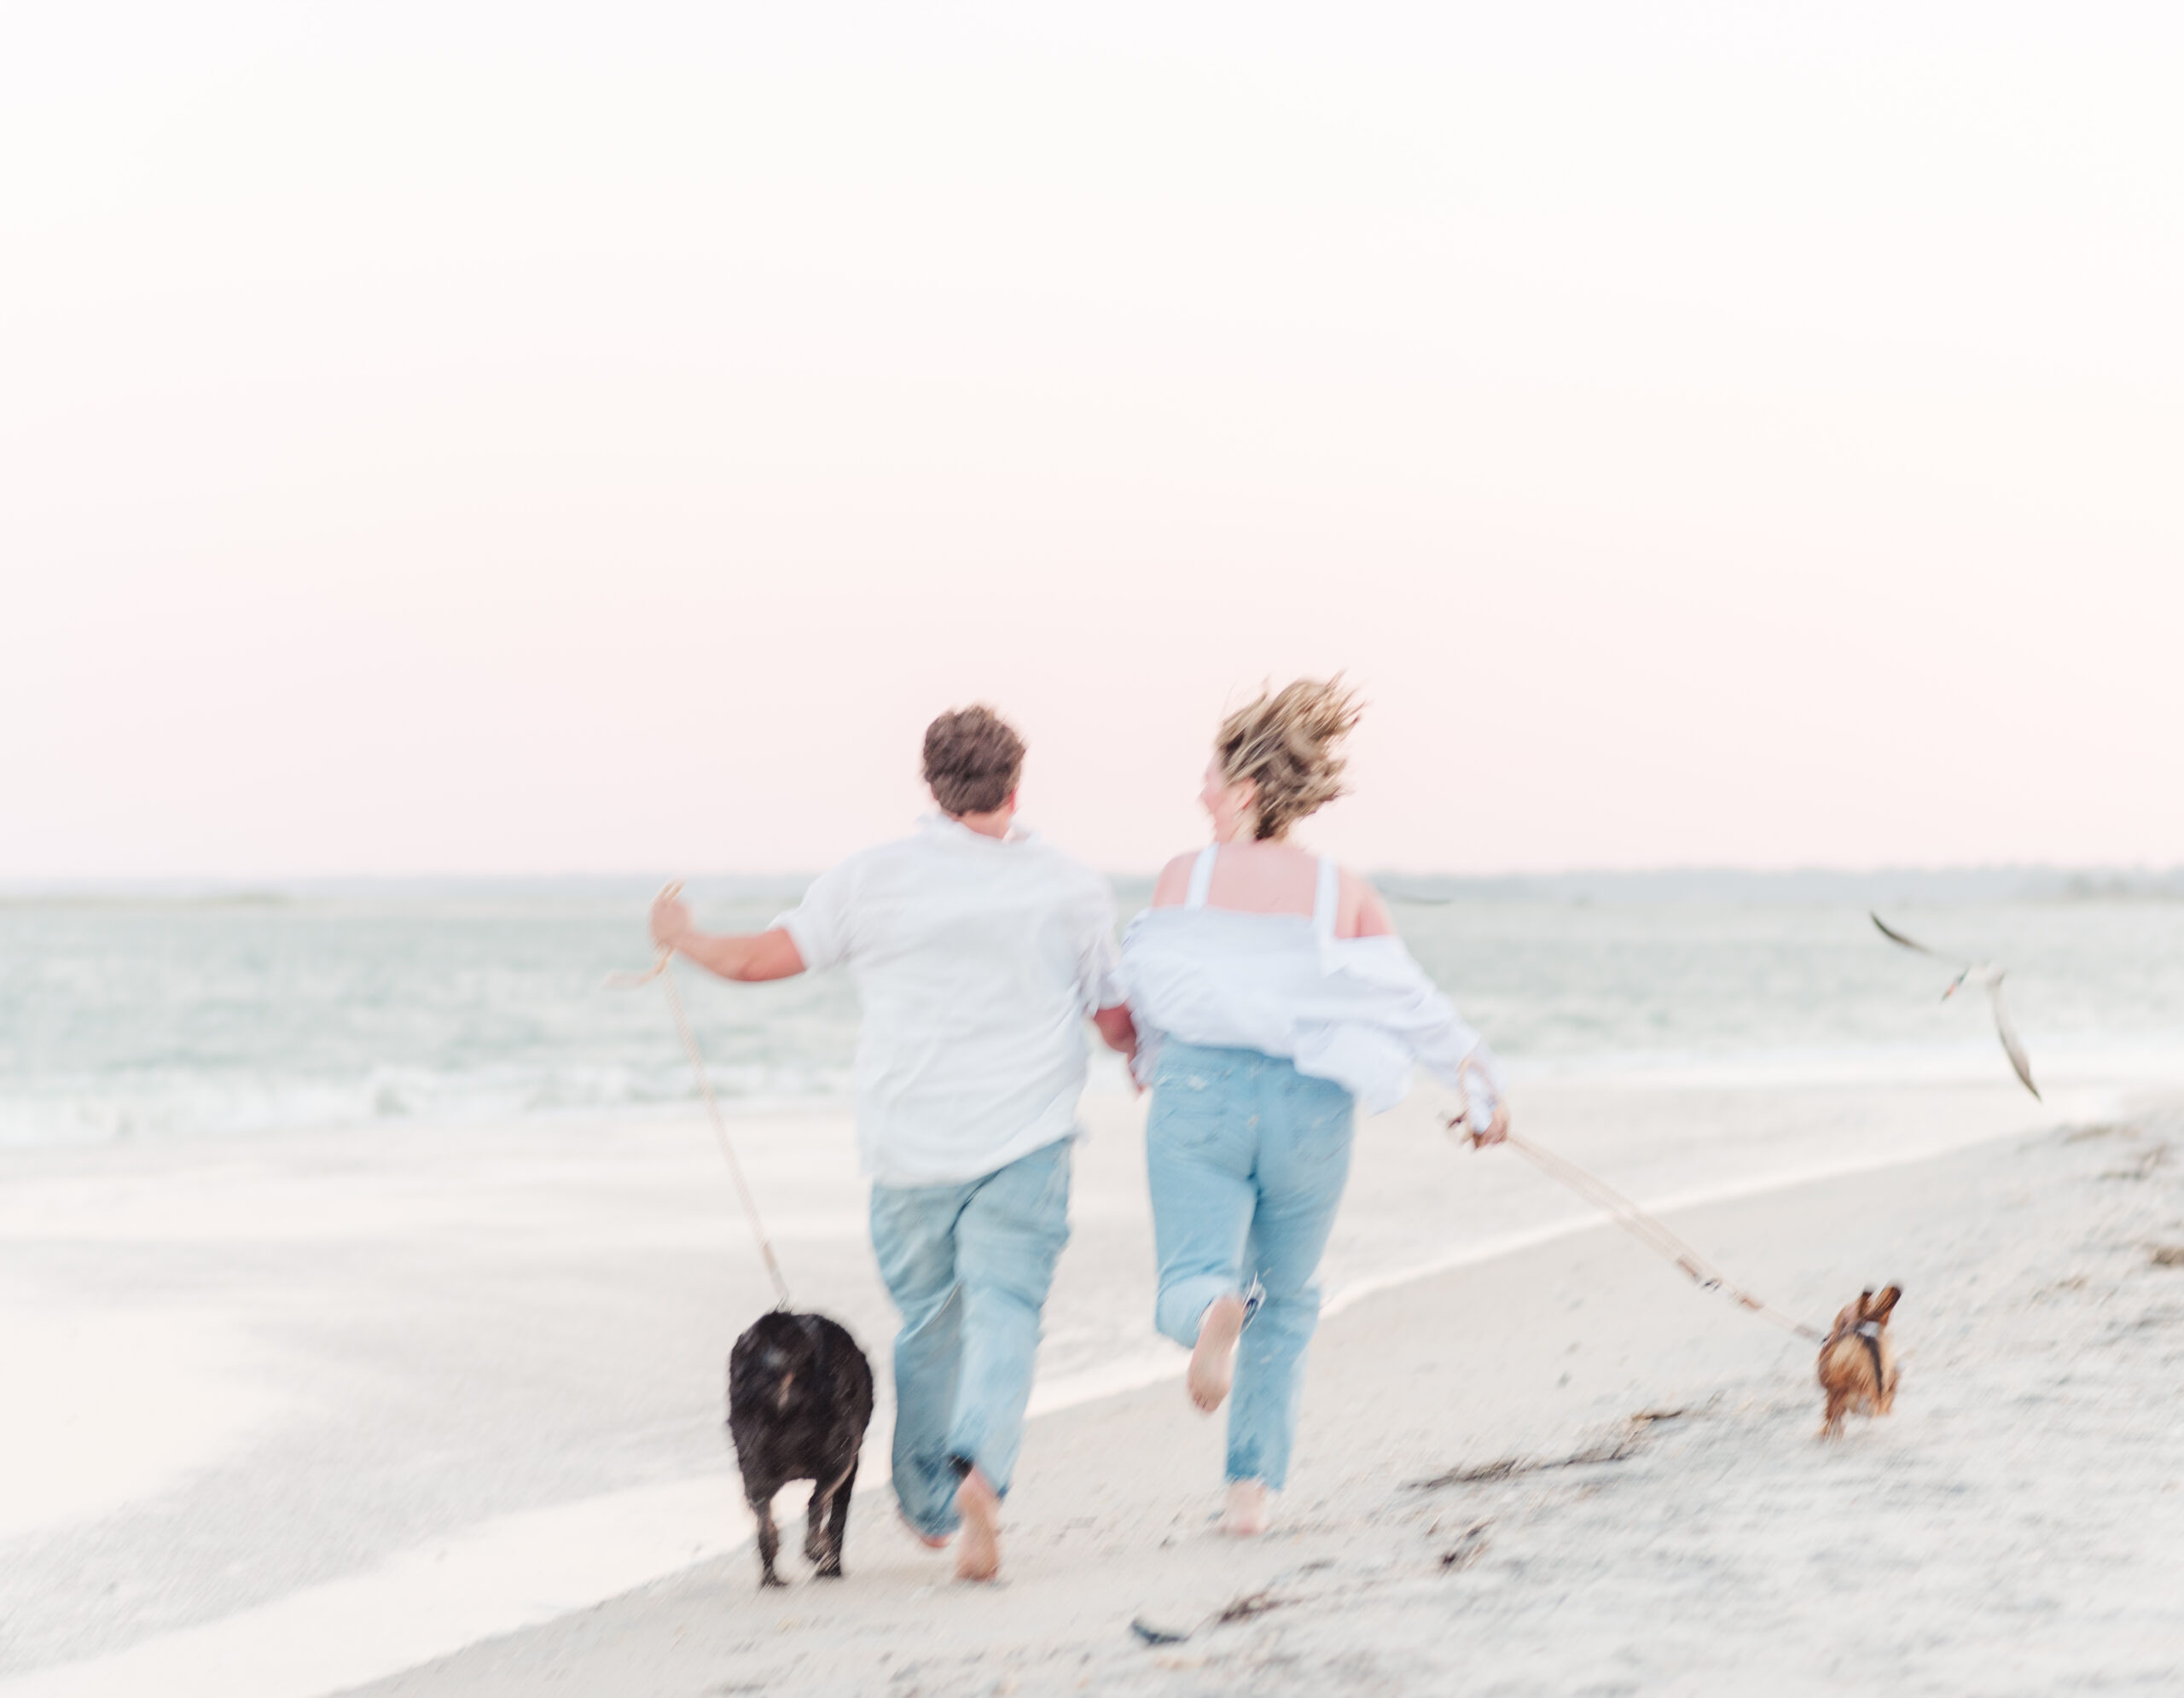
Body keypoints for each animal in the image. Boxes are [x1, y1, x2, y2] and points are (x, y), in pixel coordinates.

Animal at [729, 1302, 874, 1582]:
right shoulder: (850, 1466)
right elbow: (837, 1520)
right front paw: (831, 1569)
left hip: (753, 1468)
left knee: (764, 1523)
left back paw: (772, 1579)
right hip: (840, 1458)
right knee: (815, 1504)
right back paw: (818, 1553)